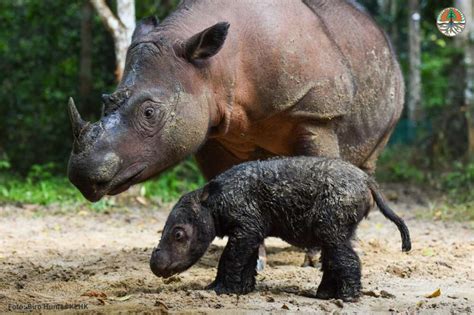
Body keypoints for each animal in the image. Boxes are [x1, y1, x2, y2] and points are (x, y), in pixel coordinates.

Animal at [67, 0, 400, 207]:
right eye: (105, 101)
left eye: (149, 112)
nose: (82, 175)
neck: (213, 67)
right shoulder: (208, 127)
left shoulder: (317, 114)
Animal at [149, 157, 412, 302]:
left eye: (178, 234)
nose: (155, 265)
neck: (213, 202)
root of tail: (368, 182)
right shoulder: (252, 229)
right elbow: (246, 261)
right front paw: (243, 290)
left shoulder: (245, 228)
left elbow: (230, 258)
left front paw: (220, 290)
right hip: (336, 227)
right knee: (333, 253)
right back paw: (325, 295)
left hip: (332, 222)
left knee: (343, 254)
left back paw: (347, 298)